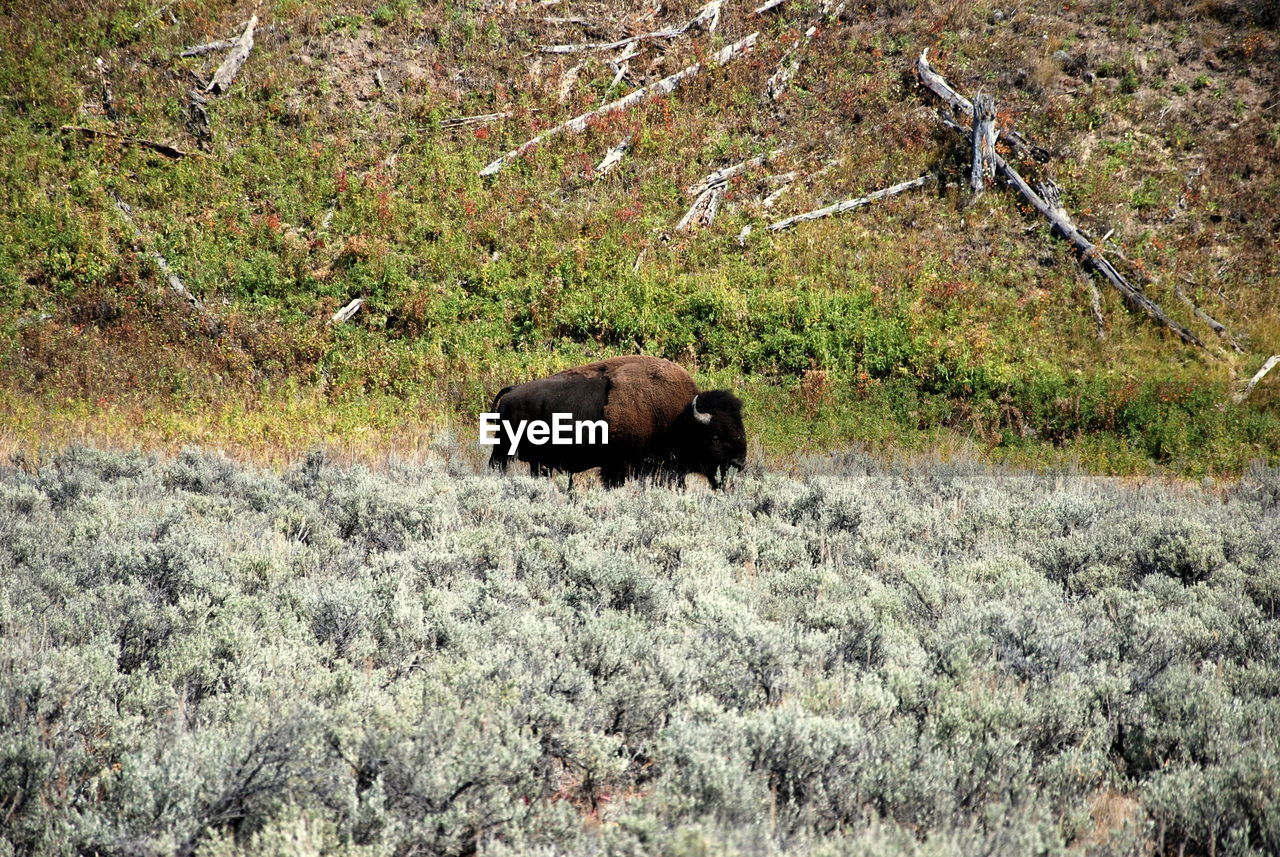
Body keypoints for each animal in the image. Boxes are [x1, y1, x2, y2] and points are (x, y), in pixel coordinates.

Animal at [488, 355, 747, 491]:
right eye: (715, 435)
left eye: (740, 427)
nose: (739, 462)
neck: (678, 419)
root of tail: (512, 392)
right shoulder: (618, 466)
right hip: (504, 449)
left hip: (537, 461)